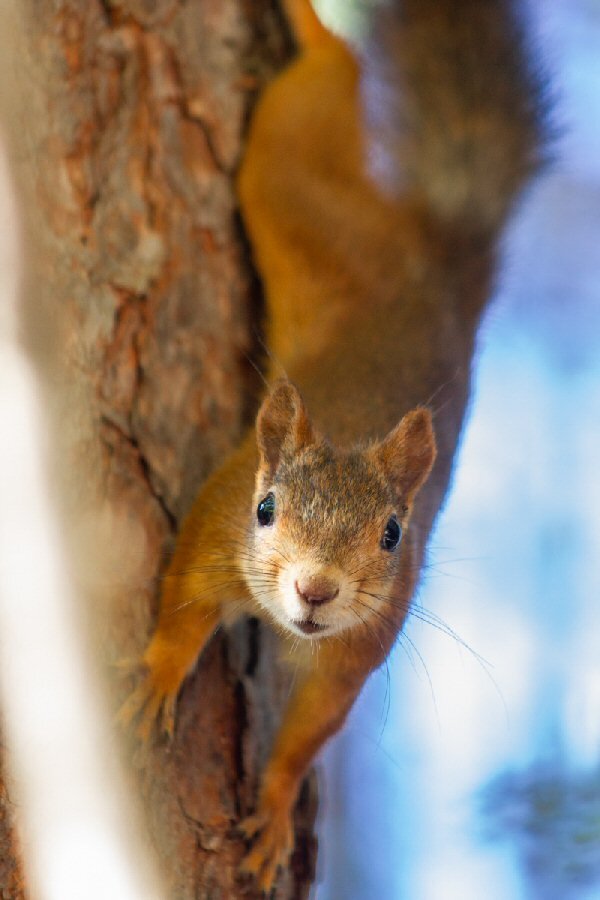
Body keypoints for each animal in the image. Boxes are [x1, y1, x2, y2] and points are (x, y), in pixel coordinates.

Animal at [117, 0, 544, 888]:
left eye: (392, 534)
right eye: (266, 508)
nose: (316, 591)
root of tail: (443, 261)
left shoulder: (362, 646)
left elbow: (312, 726)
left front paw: (277, 809)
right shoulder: (215, 523)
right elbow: (183, 606)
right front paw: (160, 672)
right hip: (297, 192)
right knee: (325, 88)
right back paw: (314, 30)